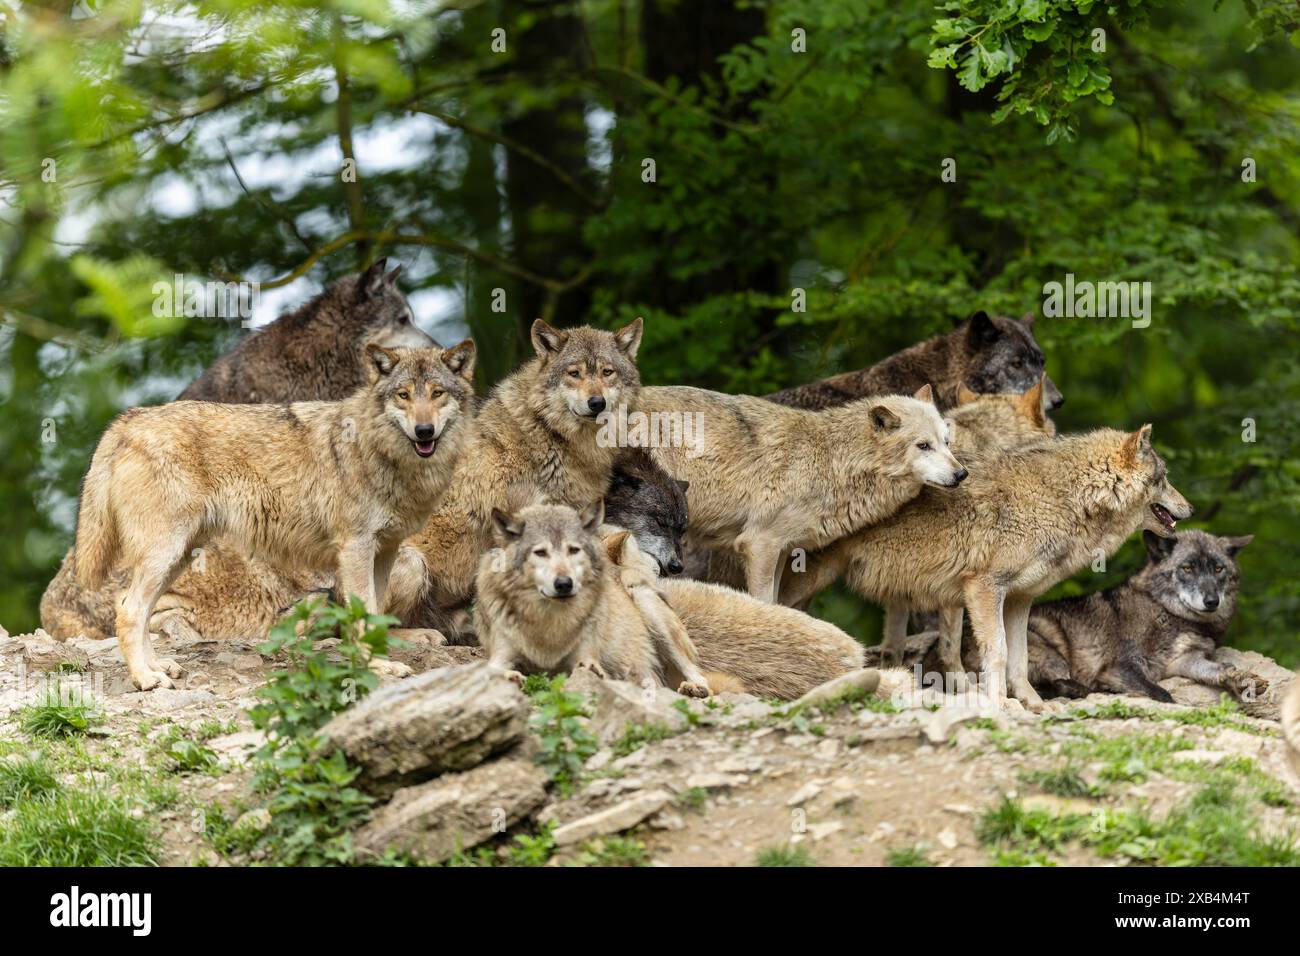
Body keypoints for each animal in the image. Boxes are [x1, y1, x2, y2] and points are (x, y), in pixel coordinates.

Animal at [72, 343, 475, 689]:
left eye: (437, 393)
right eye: (403, 395)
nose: (424, 431)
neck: (380, 452)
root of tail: (131, 418)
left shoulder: (385, 551)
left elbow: (373, 616)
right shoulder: (356, 549)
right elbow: (361, 617)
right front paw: (377, 667)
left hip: (179, 557)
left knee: (139, 610)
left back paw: (159, 668)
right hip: (164, 553)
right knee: (128, 610)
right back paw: (145, 679)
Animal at [637, 382, 964, 603]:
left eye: (946, 442)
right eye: (923, 446)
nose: (962, 474)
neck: (833, 461)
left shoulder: (782, 549)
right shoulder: (759, 544)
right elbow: (764, 604)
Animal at [782, 425, 1193, 710]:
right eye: (1165, 478)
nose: (1190, 508)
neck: (1065, 499)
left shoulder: (1020, 599)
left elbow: (1020, 659)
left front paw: (1033, 704)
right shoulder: (984, 589)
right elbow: (997, 653)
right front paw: (999, 703)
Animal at [1027, 530, 1264, 702]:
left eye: (1218, 568)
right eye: (1187, 568)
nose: (1212, 601)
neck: (1169, 613)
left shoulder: (1184, 660)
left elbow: (1217, 669)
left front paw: (1239, 680)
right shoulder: (1121, 666)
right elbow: (1164, 695)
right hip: (1050, 646)